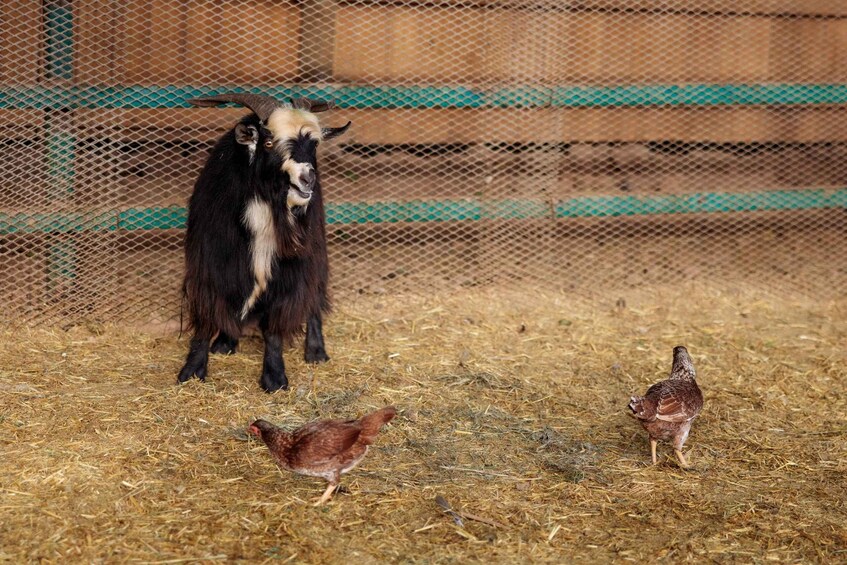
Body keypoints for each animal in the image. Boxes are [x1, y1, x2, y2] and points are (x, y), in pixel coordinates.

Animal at [177, 93, 351, 392]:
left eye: (314, 144)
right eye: (269, 143)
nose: (307, 178)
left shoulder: (289, 266)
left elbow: (274, 325)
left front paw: (275, 377)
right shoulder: (211, 262)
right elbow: (208, 313)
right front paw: (192, 370)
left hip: (315, 247)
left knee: (314, 293)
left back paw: (316, 351)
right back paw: (225, 342)